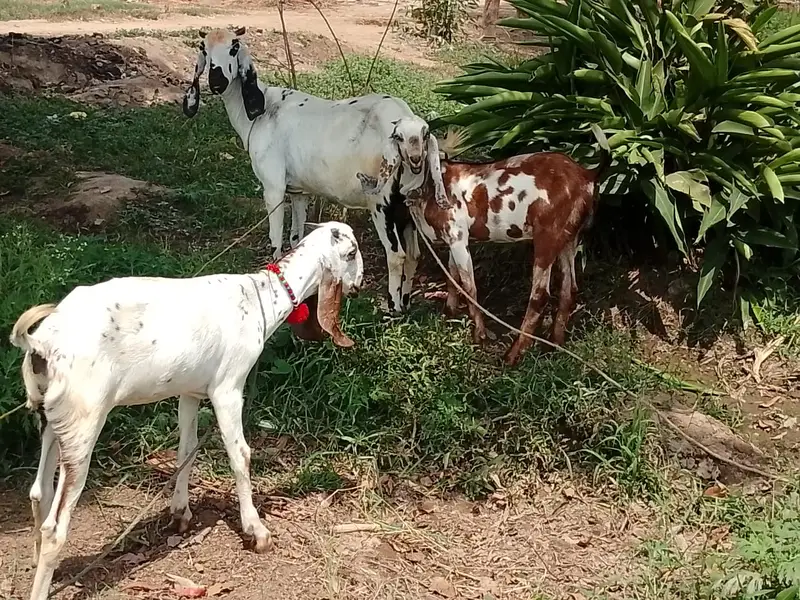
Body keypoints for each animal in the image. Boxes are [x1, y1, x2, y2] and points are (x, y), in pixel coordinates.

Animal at [10, 222, 363, 600]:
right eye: (351, 253)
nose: (360, 284)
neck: (258, 300)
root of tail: (42, 342)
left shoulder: (190, 391)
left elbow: (187, 449)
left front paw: (180, 512)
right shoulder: (228, 388)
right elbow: (240, 454)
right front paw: (256, 531)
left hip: (52, 416)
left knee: (38, 492)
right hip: (83, 421)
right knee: (54, 527)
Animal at [182, 26, 449, 314]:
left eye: (234, 47)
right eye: (203, 48)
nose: (217, 81)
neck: (262, 112)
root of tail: (414, 133)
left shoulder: (273, 187)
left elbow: (276, 238)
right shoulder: (299, 191)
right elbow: (296, 239)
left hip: (381, 203)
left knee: (396, 255)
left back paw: (392, 308)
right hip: (407, 207)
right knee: (413, 255)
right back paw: (406, 305)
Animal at [359, 130, 607, 366]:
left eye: (422, 136)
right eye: (398, 137)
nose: (415, 159)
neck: (432, 184)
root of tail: (587, 176)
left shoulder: (458, 237)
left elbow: (469, 287)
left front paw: (479, 335)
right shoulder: (452, 239)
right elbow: (452, 278)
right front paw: (447, 318)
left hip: (548, 236)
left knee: (540, 296)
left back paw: (513, 355)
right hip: (568, 239)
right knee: (569, 289)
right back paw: (555, 344)